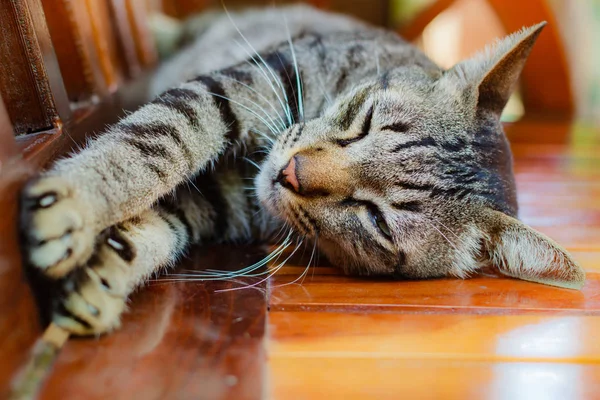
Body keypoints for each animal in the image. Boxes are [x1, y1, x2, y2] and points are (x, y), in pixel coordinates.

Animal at [19, 4, 584, 336]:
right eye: (364, 120)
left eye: (376, 220)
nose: (290, 173)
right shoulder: (245, 83)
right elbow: (156, 143)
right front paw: (76, 201)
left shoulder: (224, 201)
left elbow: (160, 224)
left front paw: (100, 278)